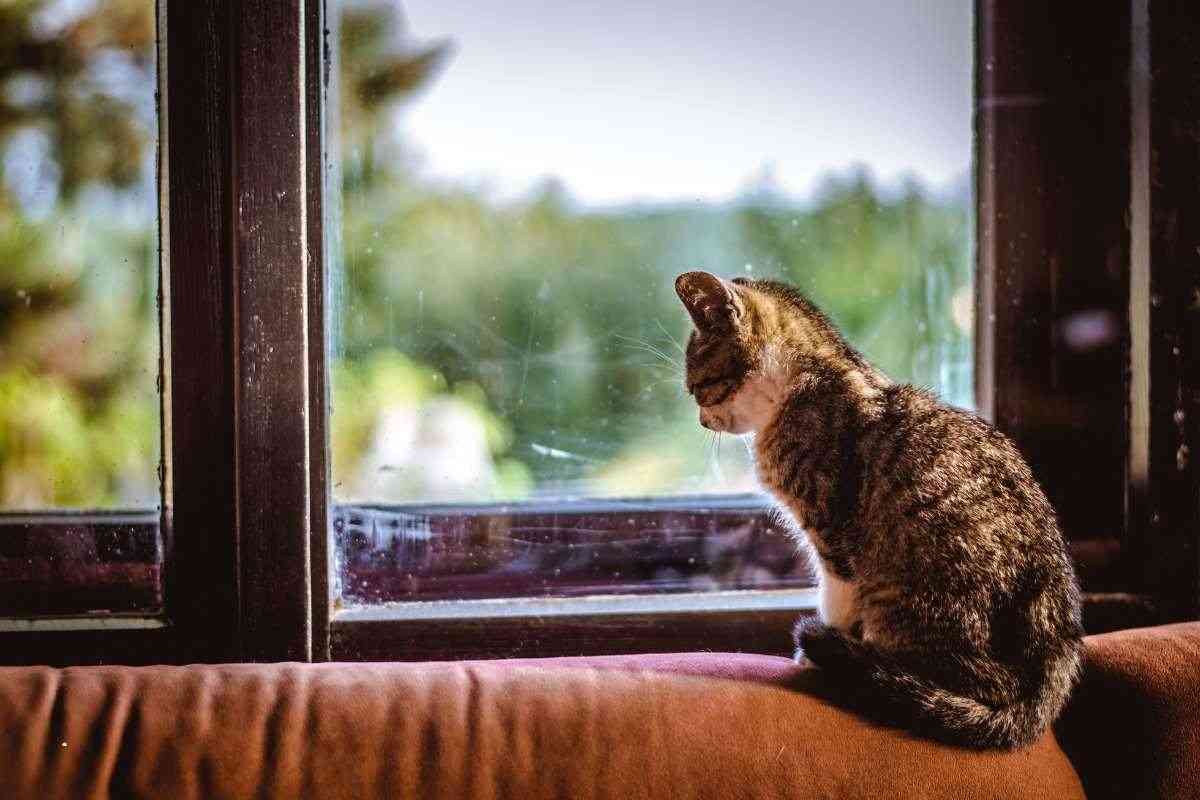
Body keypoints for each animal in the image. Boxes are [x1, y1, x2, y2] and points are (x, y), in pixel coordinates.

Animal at [676, 271, 1089, 753]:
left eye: (698, 389)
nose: (702, 421)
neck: (814, 376)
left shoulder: (833, 533)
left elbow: (835, 597)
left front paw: (814, 655)